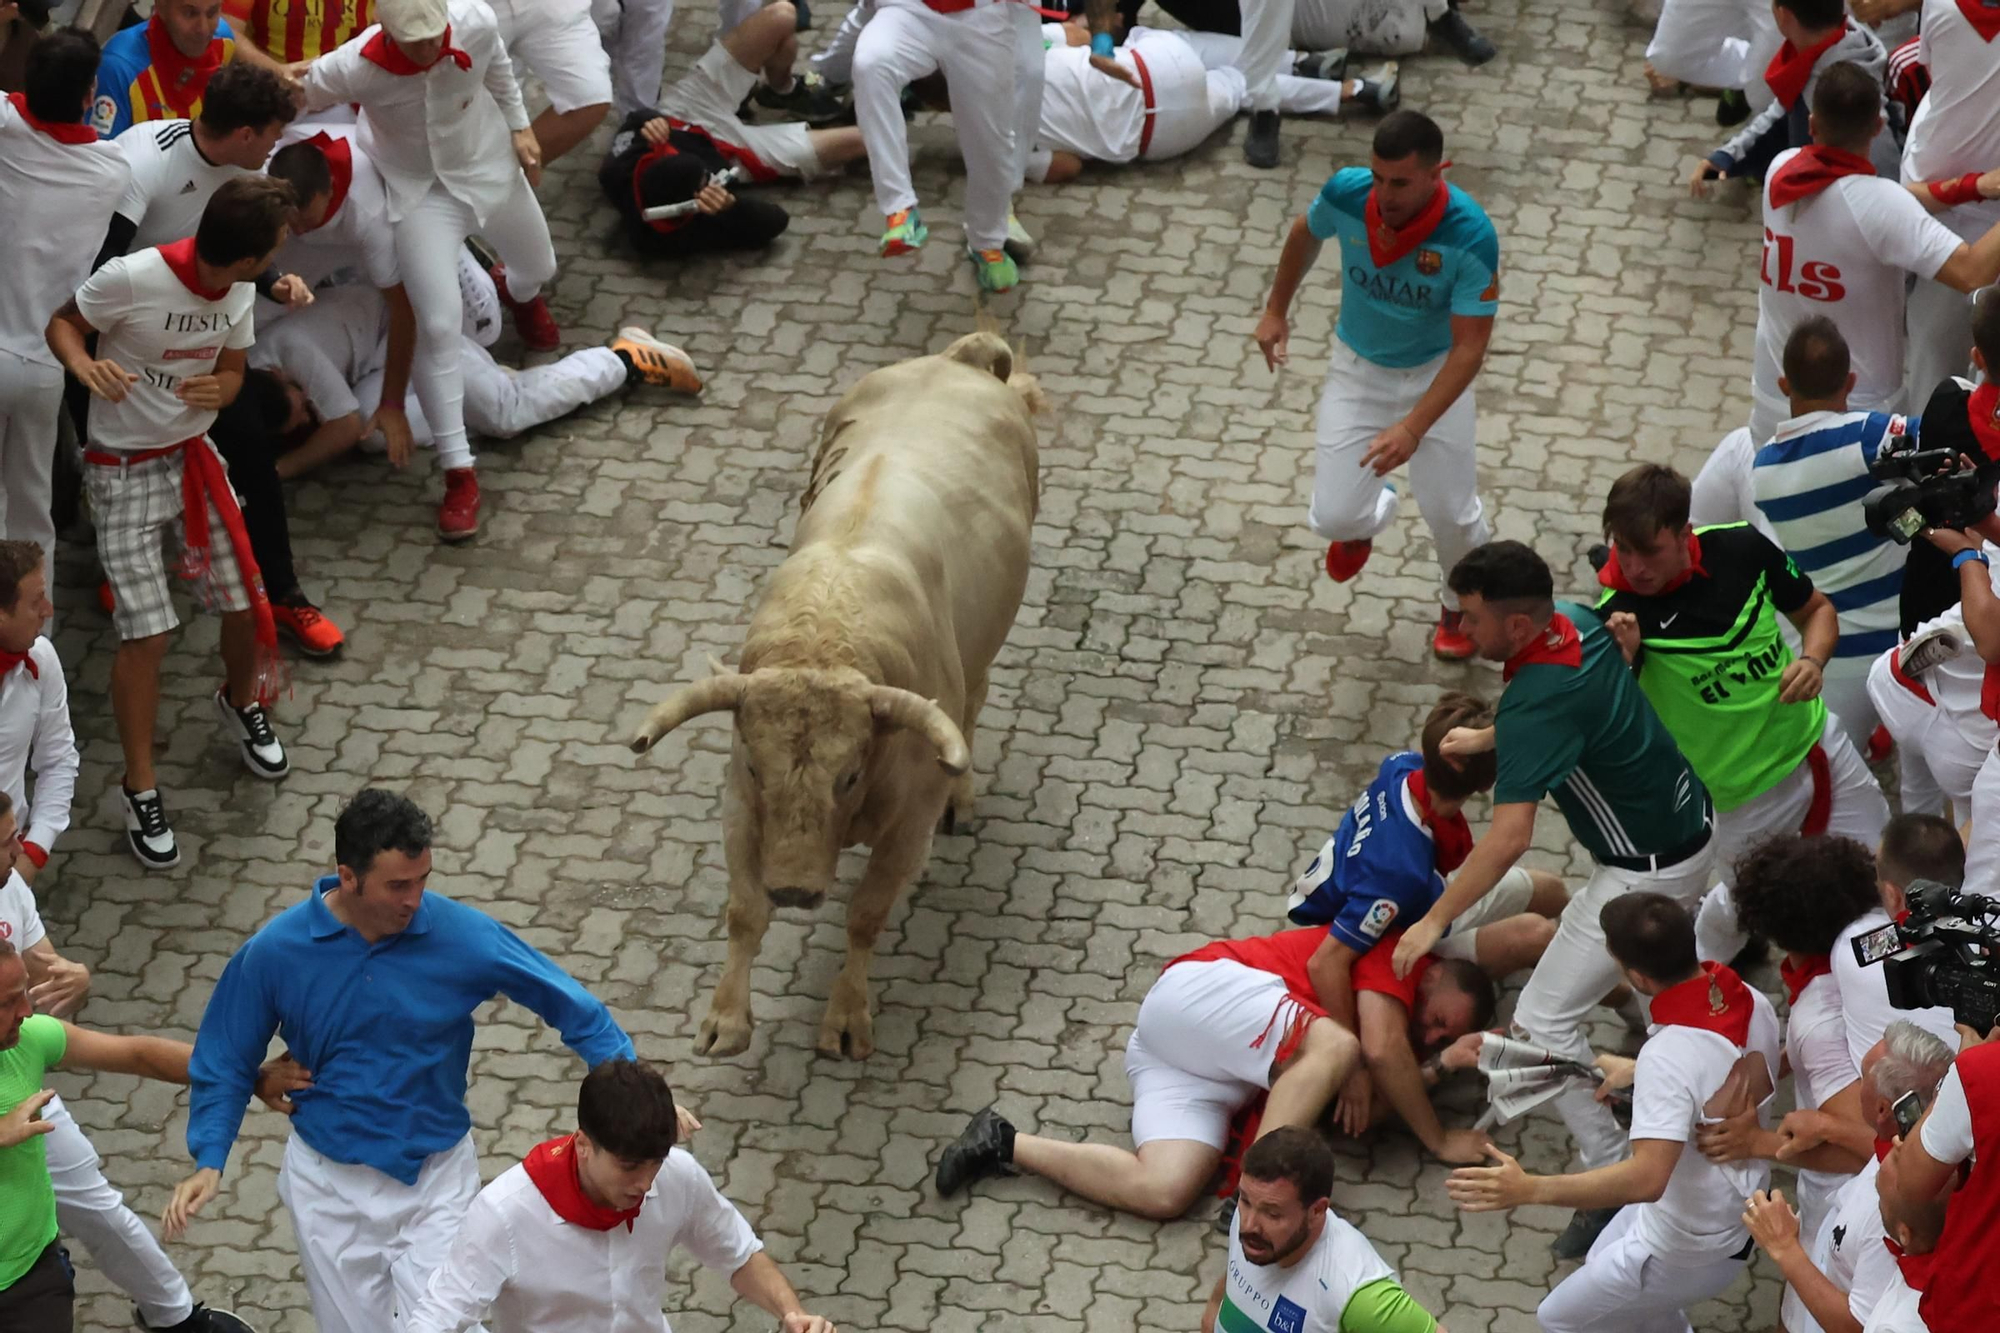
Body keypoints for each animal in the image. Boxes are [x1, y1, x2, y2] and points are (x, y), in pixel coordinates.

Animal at [632, 334, 1048, 1056]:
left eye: (850, 774)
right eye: (757, 767)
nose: (796, 890)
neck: (825, 637)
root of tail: (960, 360)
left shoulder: (908, 822)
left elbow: (866, 914)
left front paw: (848, 1015)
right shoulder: (739, 803)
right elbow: (744, 912)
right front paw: (725, 1019)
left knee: (973, 703)